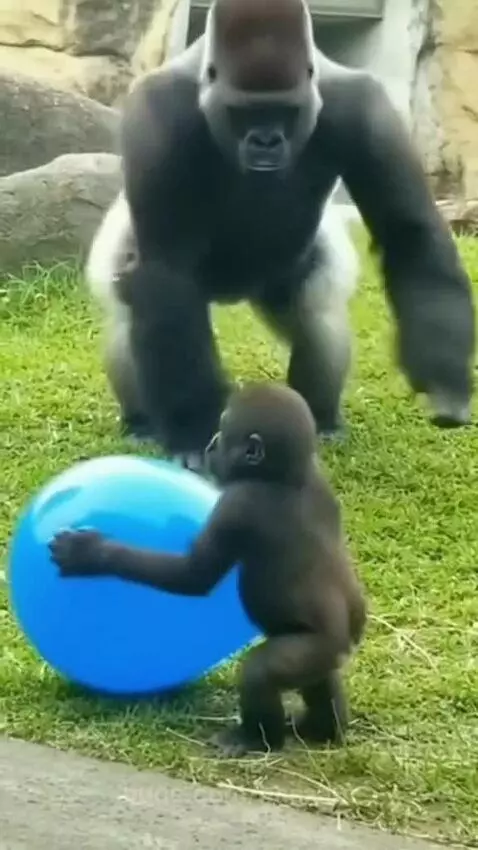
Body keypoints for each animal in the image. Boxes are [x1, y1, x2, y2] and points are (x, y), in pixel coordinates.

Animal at [49, 382, 367, 757]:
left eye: (225, 431)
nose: (212, 442)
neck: (285, 476)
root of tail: (351, 637)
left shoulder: (237, 506)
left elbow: (193, 576)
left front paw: (91, 554)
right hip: (329, 655)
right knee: (320, 680)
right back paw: (322, 728)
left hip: (316, 647)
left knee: (260, 672)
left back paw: (256, 739)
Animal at [85, 0, 475, 472]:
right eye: (245, 113)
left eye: (284, 112)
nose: (266, 141)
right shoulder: (155, 115)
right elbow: (166, 269)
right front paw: (195, 431)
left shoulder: (365, 108)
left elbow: (407, 228)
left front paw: (444, 375)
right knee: (131, 303)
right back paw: (142, 421)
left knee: (316, 308)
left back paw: (320, 417)